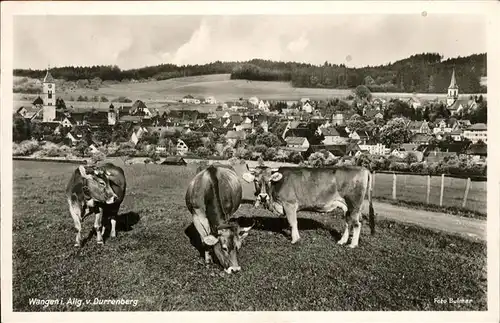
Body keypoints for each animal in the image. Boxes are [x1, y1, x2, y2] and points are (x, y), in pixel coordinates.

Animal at [242, 166, 376, 249]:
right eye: (256, 180)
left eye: (269, 180)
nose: (263, 196)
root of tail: (362, 168)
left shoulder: (289, 204)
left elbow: (293, 222)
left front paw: (295, 239)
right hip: (347, 206)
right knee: (349, 223)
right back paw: (342, 241)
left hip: (354, 204)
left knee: (357, 224)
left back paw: (352, 245)